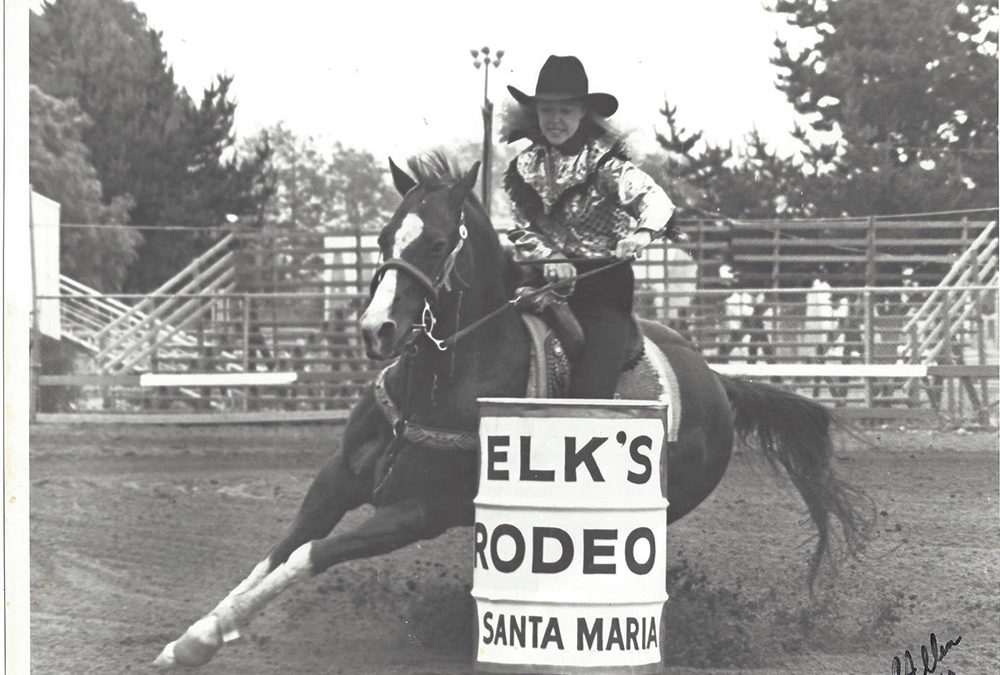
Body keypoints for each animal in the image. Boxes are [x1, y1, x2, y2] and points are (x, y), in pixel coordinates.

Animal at [152, 156, 872, 668]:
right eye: (384, 236)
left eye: (437, 242)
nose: (376, 330)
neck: (438, 377)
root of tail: (718, 382)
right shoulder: (337, 480)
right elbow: (277, 553)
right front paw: (197, 634)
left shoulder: (416, 511)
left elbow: (311, 554)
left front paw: (203, 640)